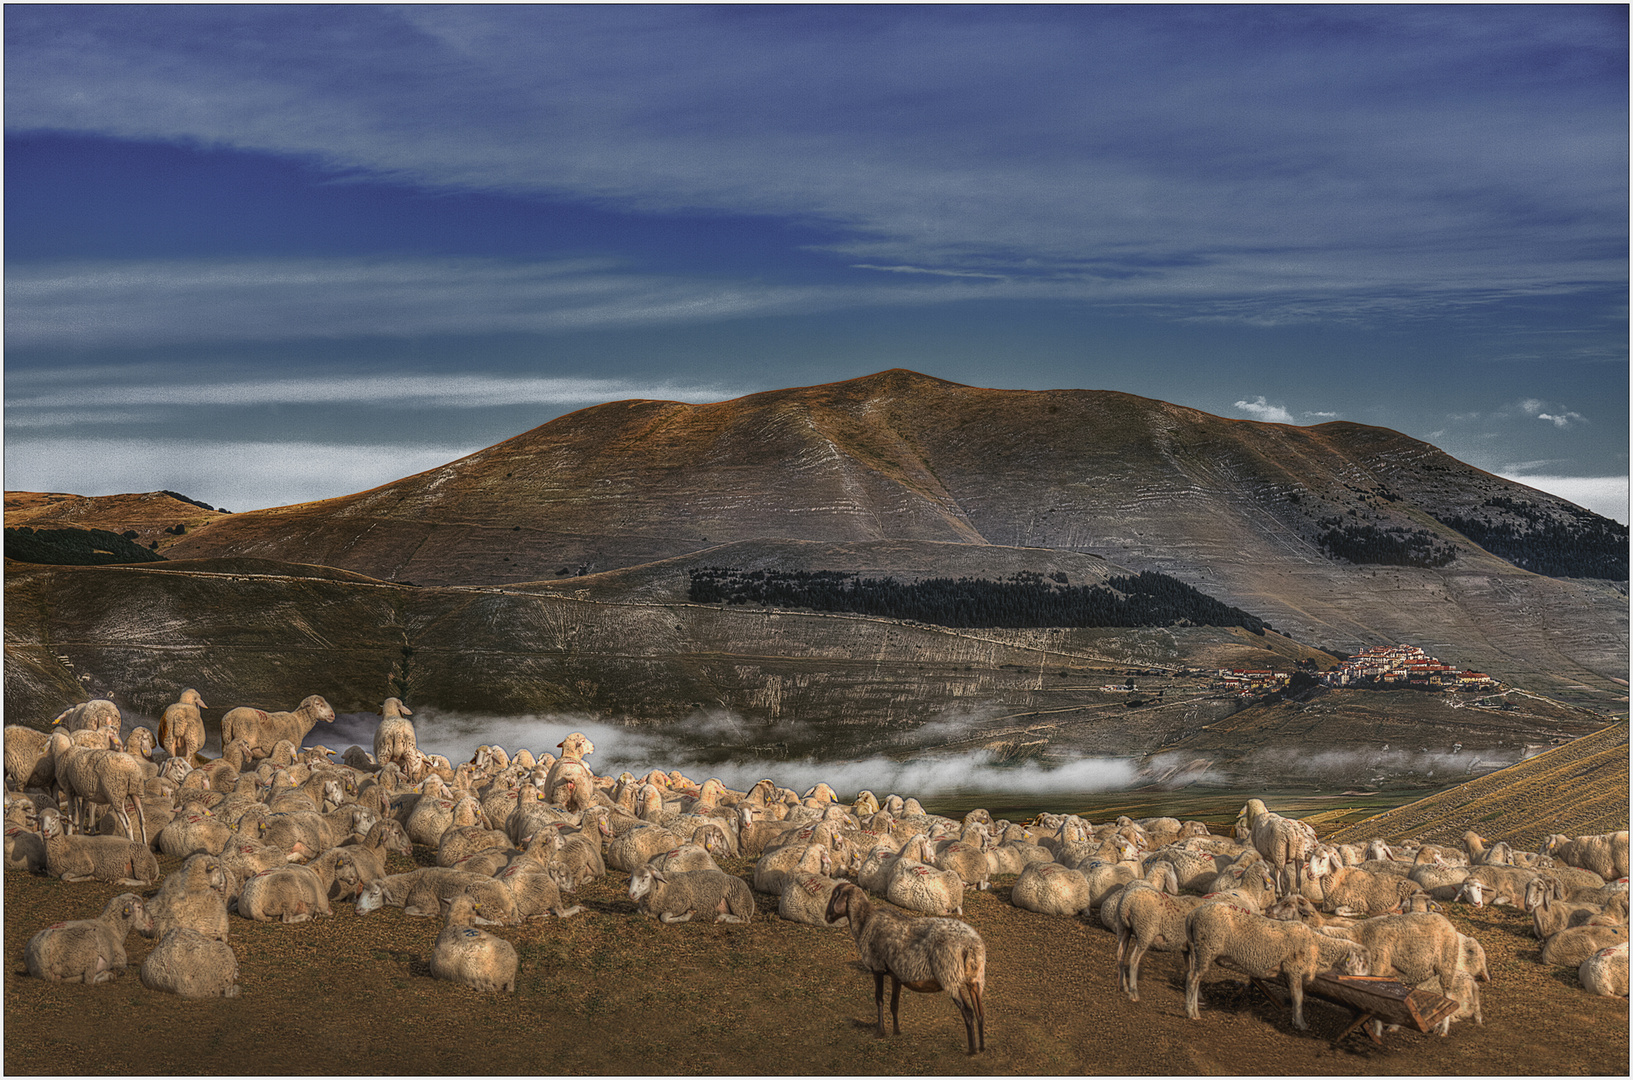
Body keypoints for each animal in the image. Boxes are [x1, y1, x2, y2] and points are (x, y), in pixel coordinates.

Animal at [23, 888, 155, 980]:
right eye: (139, 907)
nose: (152, 922)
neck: (113, 928)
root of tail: (43, 956)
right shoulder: (120, 960)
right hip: (87, 953)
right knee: (88, 980)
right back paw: (107, 976)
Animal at [823, 882, 986, 1045]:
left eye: (834, 894)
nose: (827, 917)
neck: (864, 921)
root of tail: (972, 944)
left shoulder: (877, 967)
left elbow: (879, 1000)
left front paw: (880, 1032)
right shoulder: (896, 975)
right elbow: (894, 1004)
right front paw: (896, 1032)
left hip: (950, 975)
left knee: (968, 1012)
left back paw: (972, 1049)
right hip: (975, 978)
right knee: (980, 1014)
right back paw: (981, 1048)